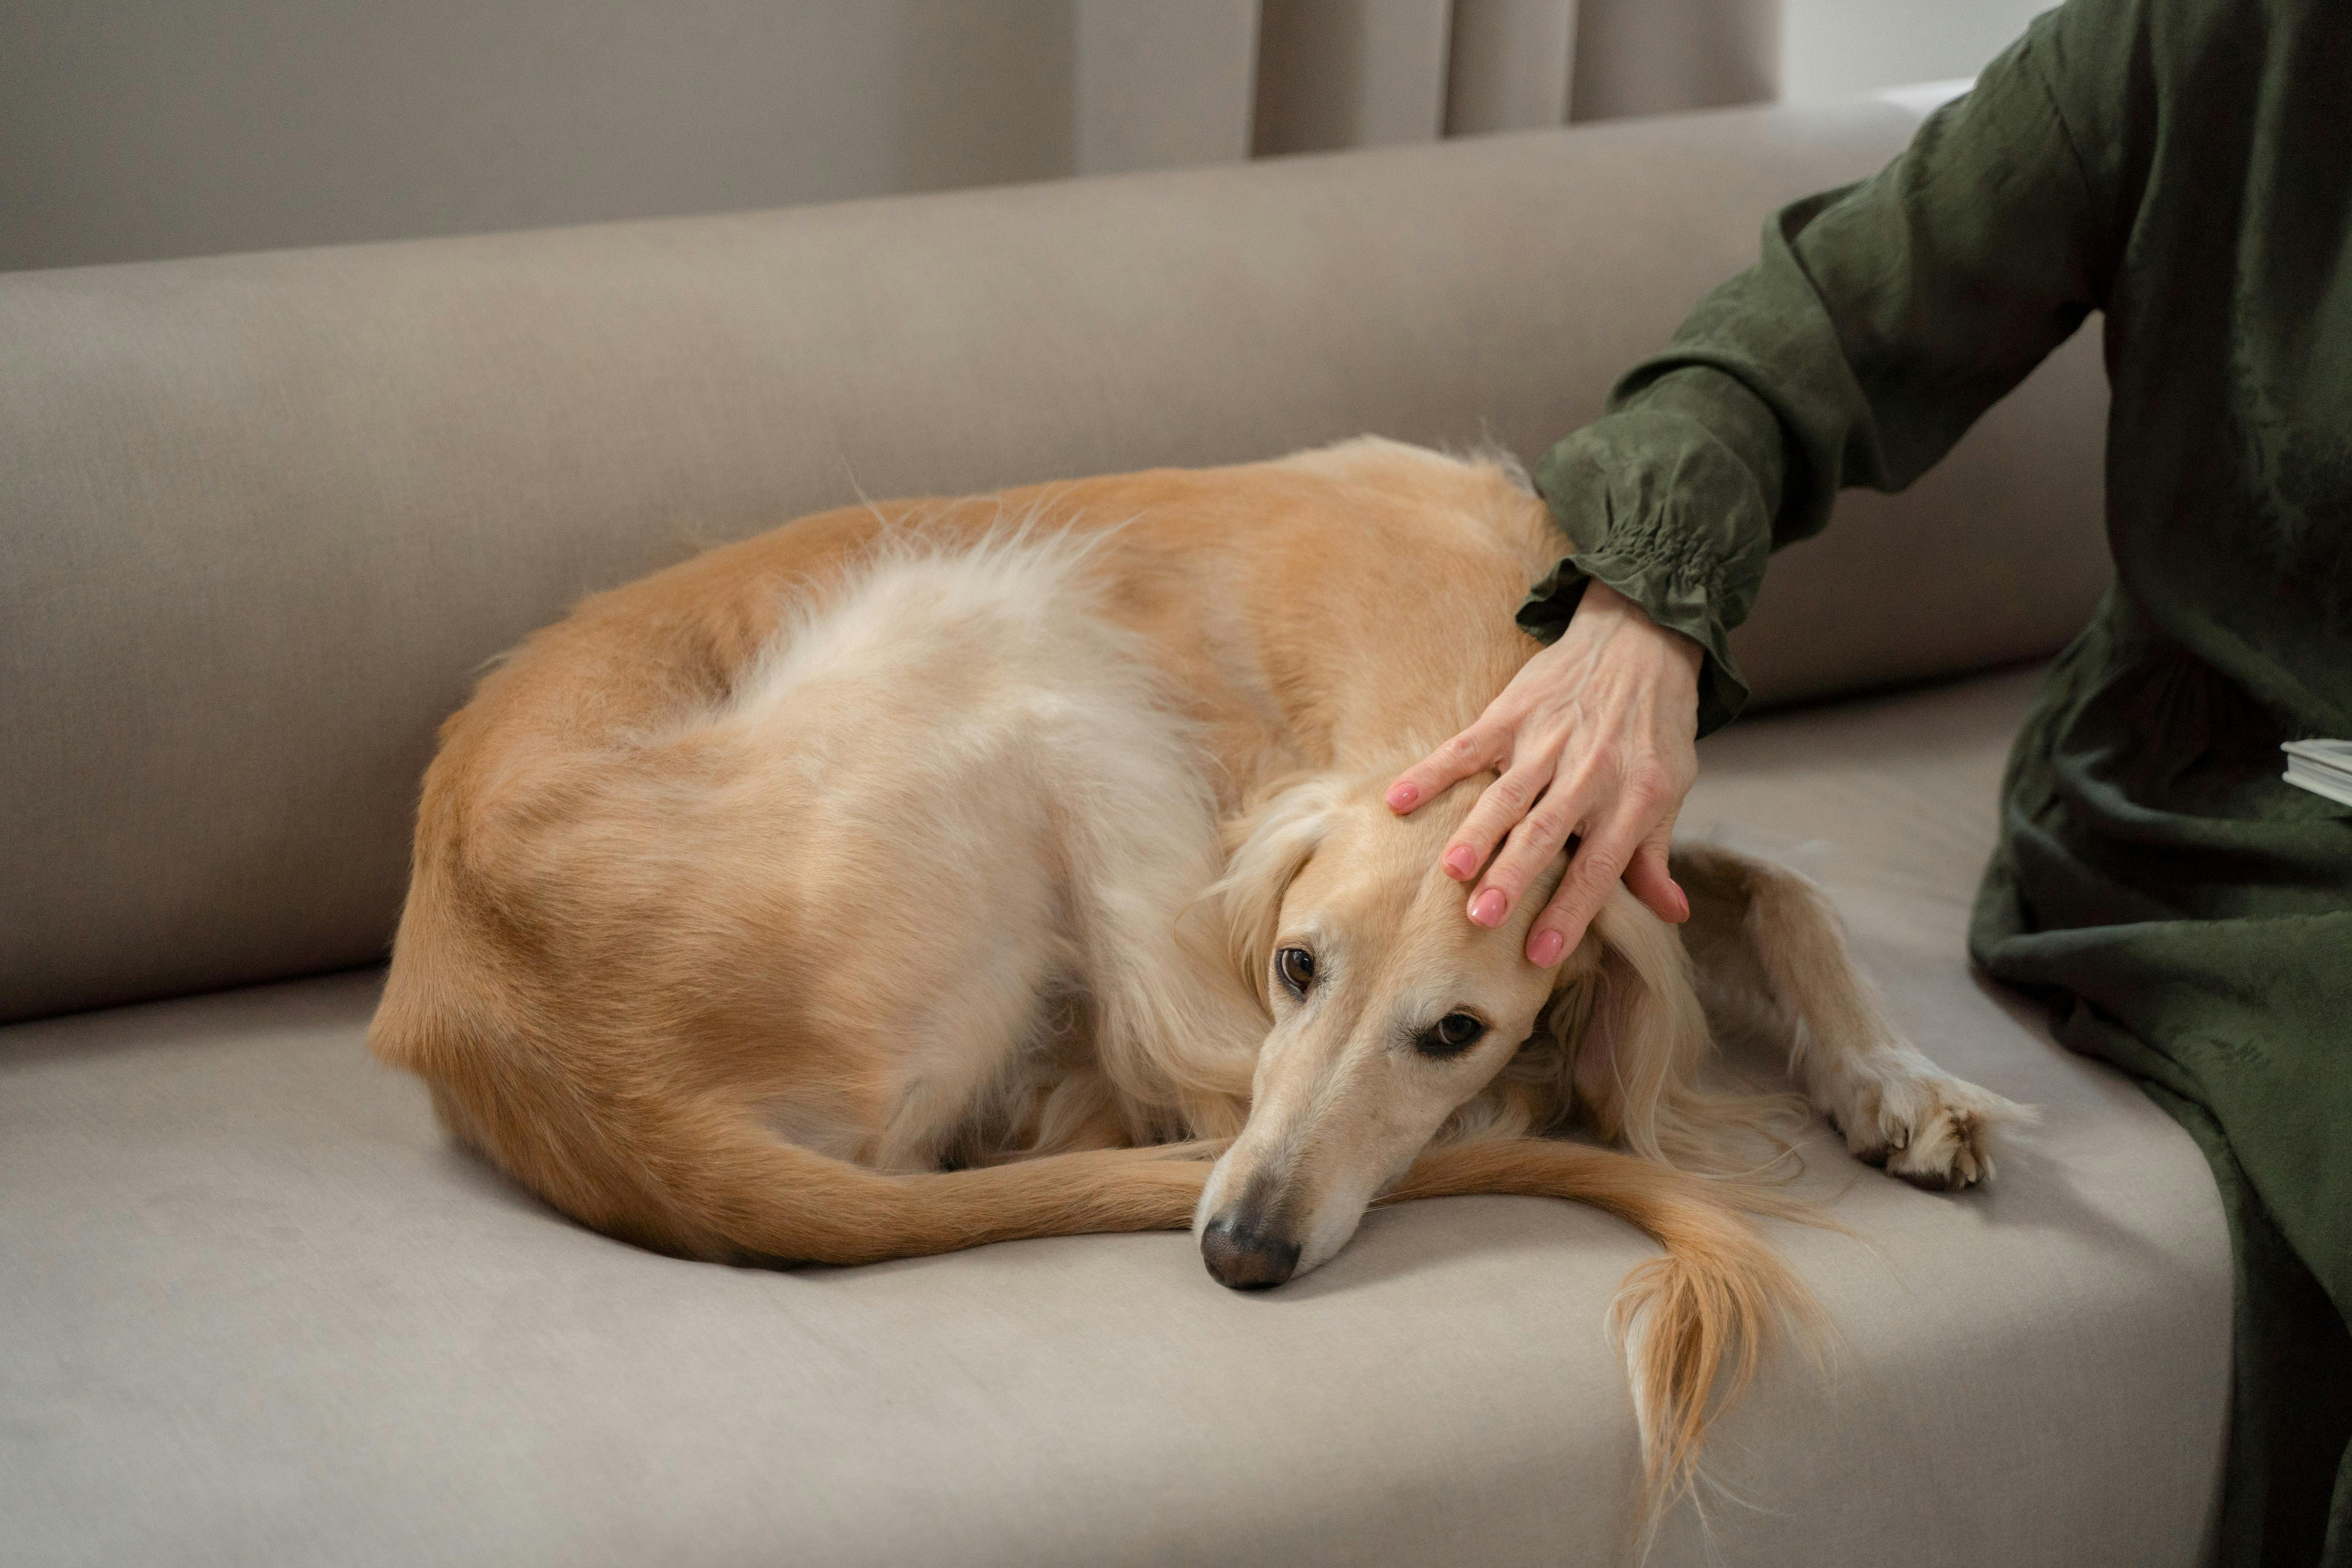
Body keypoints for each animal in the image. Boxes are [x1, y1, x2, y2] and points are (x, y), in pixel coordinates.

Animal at [372, 439, 2023, 1533]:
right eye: (1297, 962)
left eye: (1453, 1028)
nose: (1239, 1252)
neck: (1453, 656)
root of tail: (580, 1073)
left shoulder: (1636, 856)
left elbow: (1783, 895)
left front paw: (1906, 1082)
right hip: (1004, 629)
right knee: (1145, 1081)